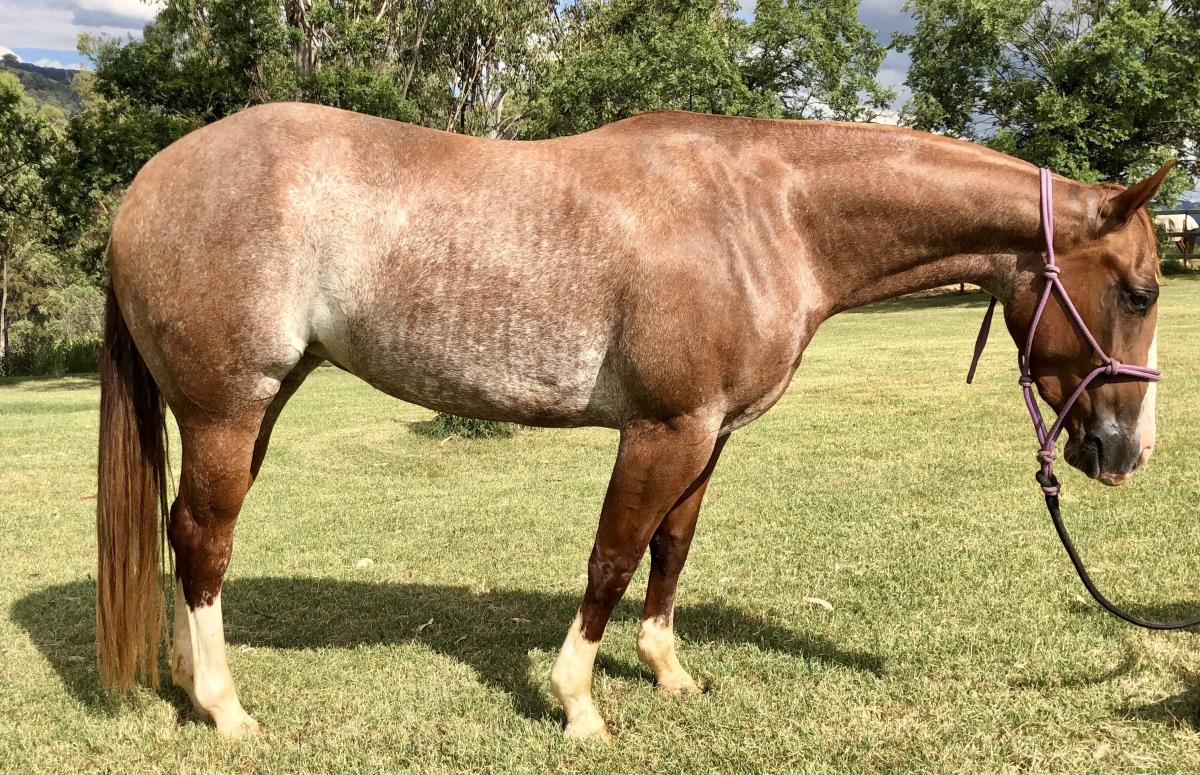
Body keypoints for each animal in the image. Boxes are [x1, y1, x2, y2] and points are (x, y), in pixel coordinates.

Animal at [96, 104, 1168, 740]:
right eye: (1142, 290)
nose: (1125, 452)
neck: (769, 212)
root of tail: (146, 186)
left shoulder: (710, 432)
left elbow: (671, 547)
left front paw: (666, 671)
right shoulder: (662, 428)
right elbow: (613, 555)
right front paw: (578, 703)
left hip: (257, 409)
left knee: (187, 536)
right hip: (229, 409)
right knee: (202, 538)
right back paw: (224, 707)